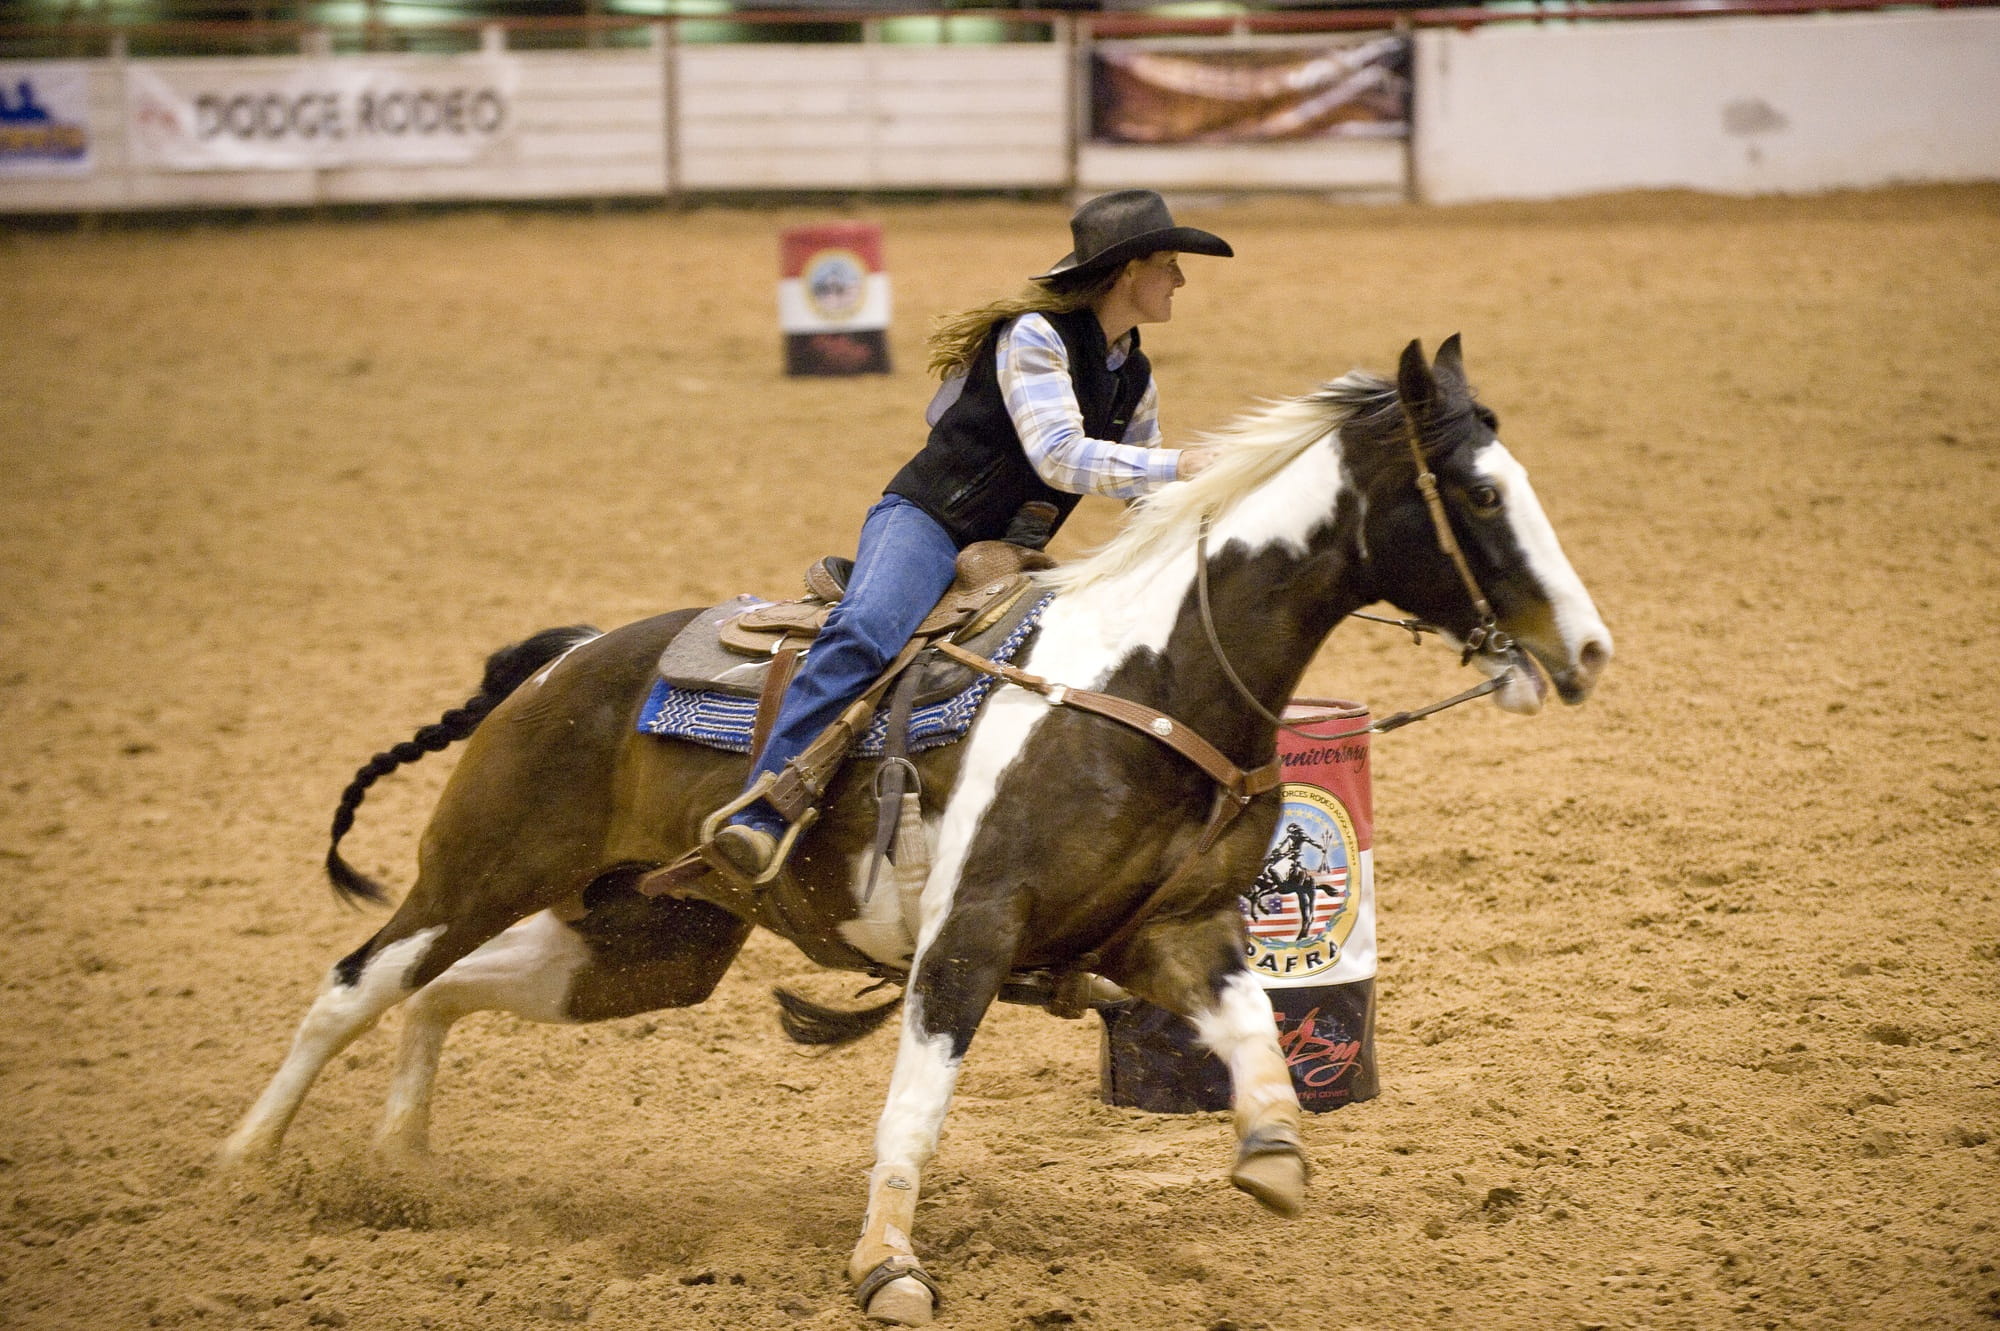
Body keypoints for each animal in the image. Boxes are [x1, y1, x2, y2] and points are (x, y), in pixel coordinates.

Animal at [223, 339, 1608, 1319]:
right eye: (1479, 493)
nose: (1586, 648)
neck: (1150, 674)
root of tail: (562, 656)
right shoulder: (967, 936)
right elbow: (913, 1110)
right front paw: (886, 1267)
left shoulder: (1178, 929)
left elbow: (1253, 1032)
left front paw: (1271, 1153)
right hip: (480, 862)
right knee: (354, 982)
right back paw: (240, 1168)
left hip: (642, 944)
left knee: (439, 992)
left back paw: (399, 1159)